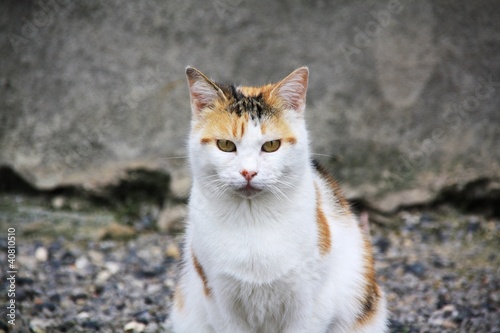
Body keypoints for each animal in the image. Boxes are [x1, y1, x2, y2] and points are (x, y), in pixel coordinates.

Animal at [170, 66, 388, 330]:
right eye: (225, 145)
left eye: (271, 145)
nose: (248, 172)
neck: (252, 219)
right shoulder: (220, 304)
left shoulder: (311, 306)